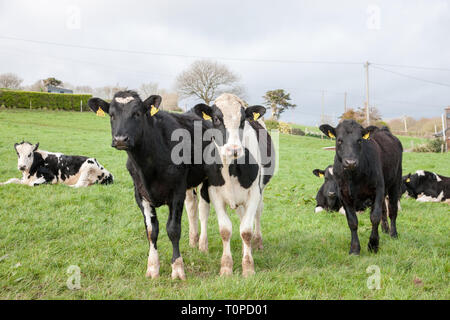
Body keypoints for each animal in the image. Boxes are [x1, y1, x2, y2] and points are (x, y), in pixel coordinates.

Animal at [89, 90, 213, 280]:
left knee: (203, 211)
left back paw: (202, 245)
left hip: (208, 177)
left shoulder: (176, 192)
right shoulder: (140, 195)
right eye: (111, 115)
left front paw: (177, 268)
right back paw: (193, 241)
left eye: (137, 113)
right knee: (192, 208)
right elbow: (151, 231)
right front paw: (153, 267)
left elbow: (173, 229)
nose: (120, 139)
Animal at [188, 93, 276, 278]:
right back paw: (202, 244)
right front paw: (226, 267)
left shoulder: (254, 194)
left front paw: (248, 267)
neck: (232, 169)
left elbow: (246, 231)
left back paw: (257, 243)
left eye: (243, 120)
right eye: (216, 119)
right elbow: (225, 230)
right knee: (202, 211)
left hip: (260, 191)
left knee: (256, 214)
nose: (233, 149)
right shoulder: (214, 193)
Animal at [320, 120, 404, 255]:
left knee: (392, 210)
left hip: (395, 182)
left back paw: (393, 233)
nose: (350, 162)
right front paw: (354, 249)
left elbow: (374, 217)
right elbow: (352, 221)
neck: (353, 176)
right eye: (339, 140)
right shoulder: (343, 194)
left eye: (359, 140)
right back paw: (385, 229)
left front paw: (373, 245)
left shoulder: (378, 188)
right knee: (384, 209)